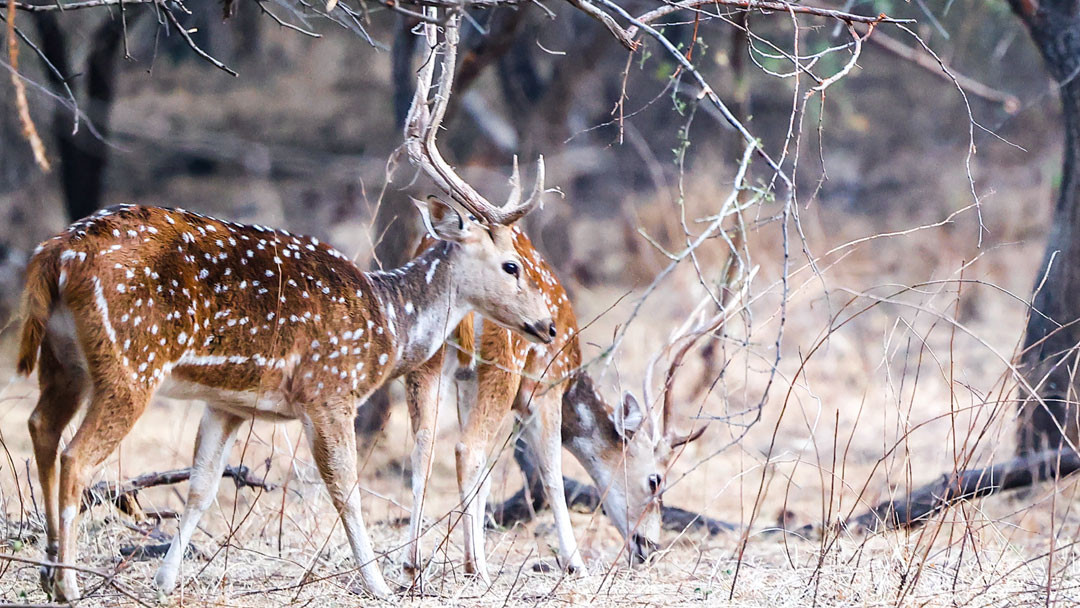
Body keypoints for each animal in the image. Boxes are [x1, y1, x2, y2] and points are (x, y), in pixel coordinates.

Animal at [16, 75, 555, 601]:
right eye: (512, 265)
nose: (548, 325)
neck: (388, 326)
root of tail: (56, 253)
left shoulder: (228, 402)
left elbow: (202, 487)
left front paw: (165, 580)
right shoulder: (328, 390)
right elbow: (345, 489)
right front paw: (379, 584)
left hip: (63, 360)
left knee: (41, 428)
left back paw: (46, 568)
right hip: (130, 362)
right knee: (75, 455)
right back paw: (67, 582)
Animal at [397, 11, 706, 583]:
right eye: (656, 478)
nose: (649, 546)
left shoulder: (467, 379)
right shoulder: (546, 385)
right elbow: (553, 476)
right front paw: (574, 562)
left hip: (430, 360)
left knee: (425, 445)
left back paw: (412, 565)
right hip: (506, 358)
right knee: (467, 448)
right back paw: (476, 568)